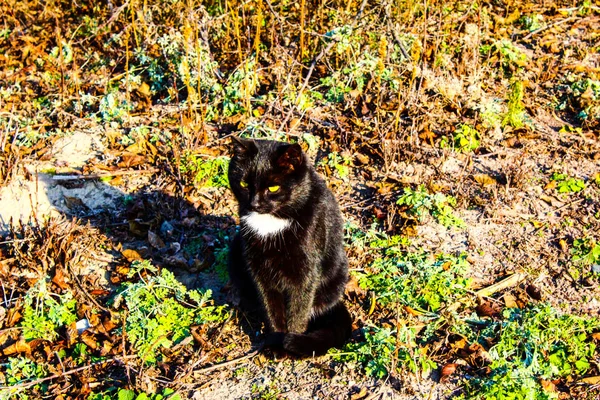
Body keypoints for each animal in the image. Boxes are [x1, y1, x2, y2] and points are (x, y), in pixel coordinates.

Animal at [229, 138, 352, 356]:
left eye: (273, 188)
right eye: (244, 184)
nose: (254, 204)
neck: (271, 224)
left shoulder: (306, 273)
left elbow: (298, 311)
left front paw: (289, 345)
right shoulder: (259, 269)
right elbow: (271, 307)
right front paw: (274, 342)